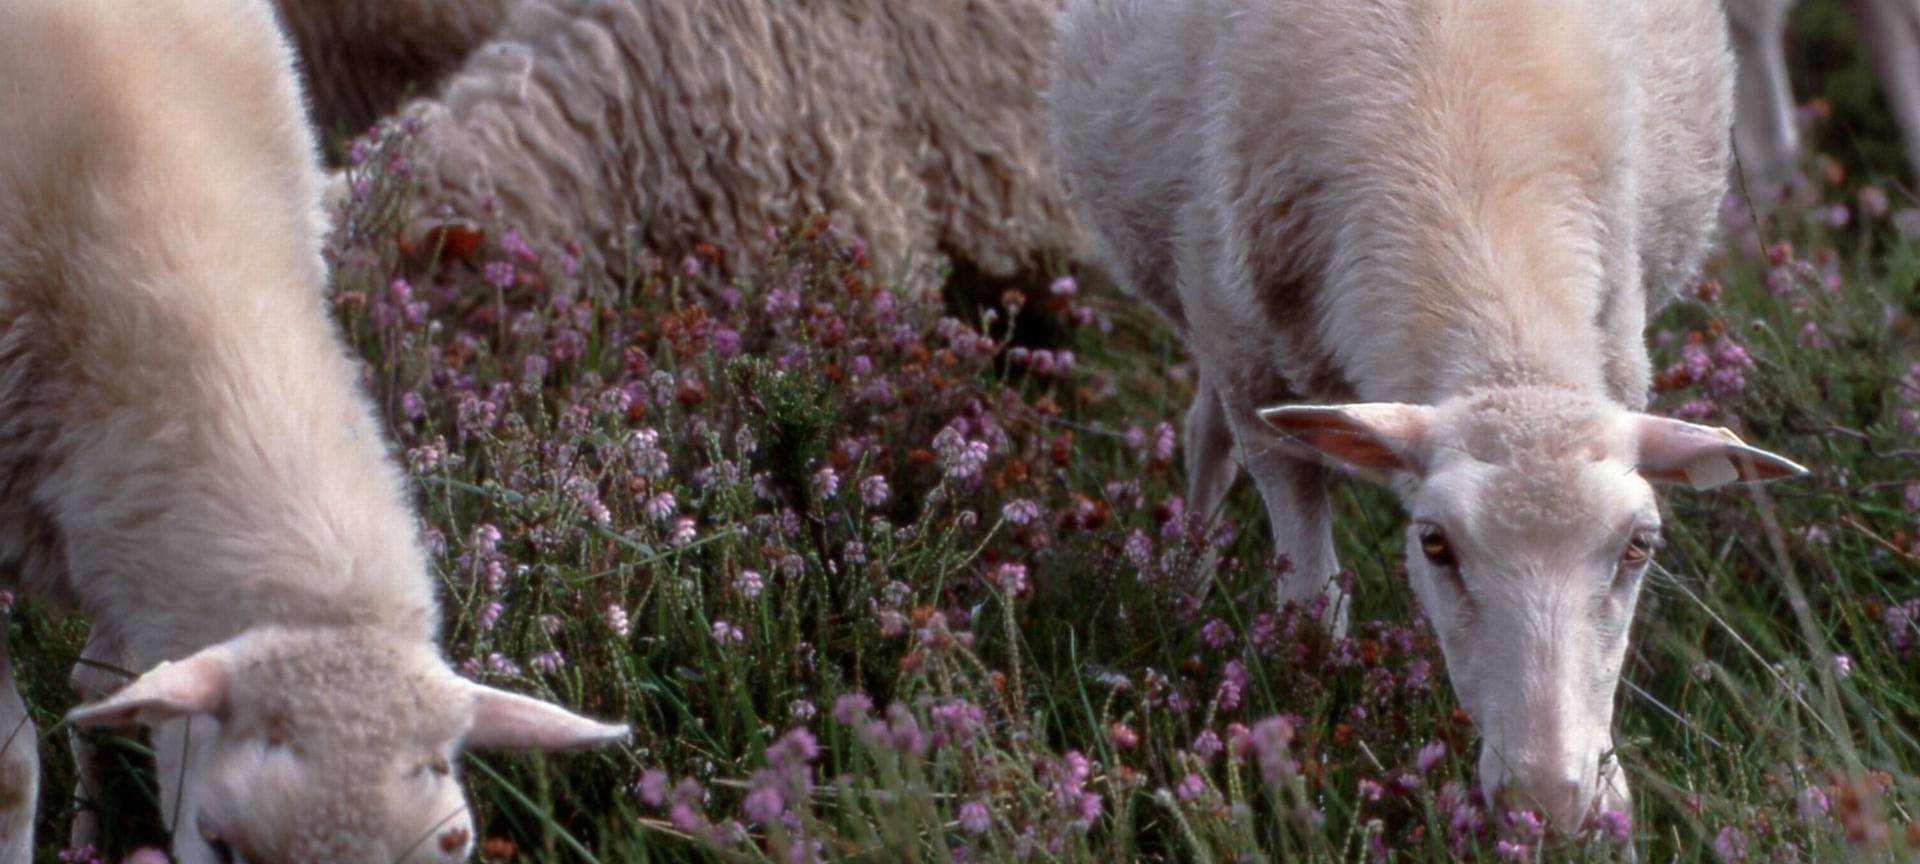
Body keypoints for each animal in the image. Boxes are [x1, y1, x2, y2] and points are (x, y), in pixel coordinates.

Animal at [1049, 0, 1806, 831]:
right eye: (1435, 545)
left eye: (1640, 547)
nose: (1548, 805)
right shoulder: (1251, 371)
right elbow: (1312, 606)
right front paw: (1310, 723)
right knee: (1204, 432)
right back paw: (1179, 575)